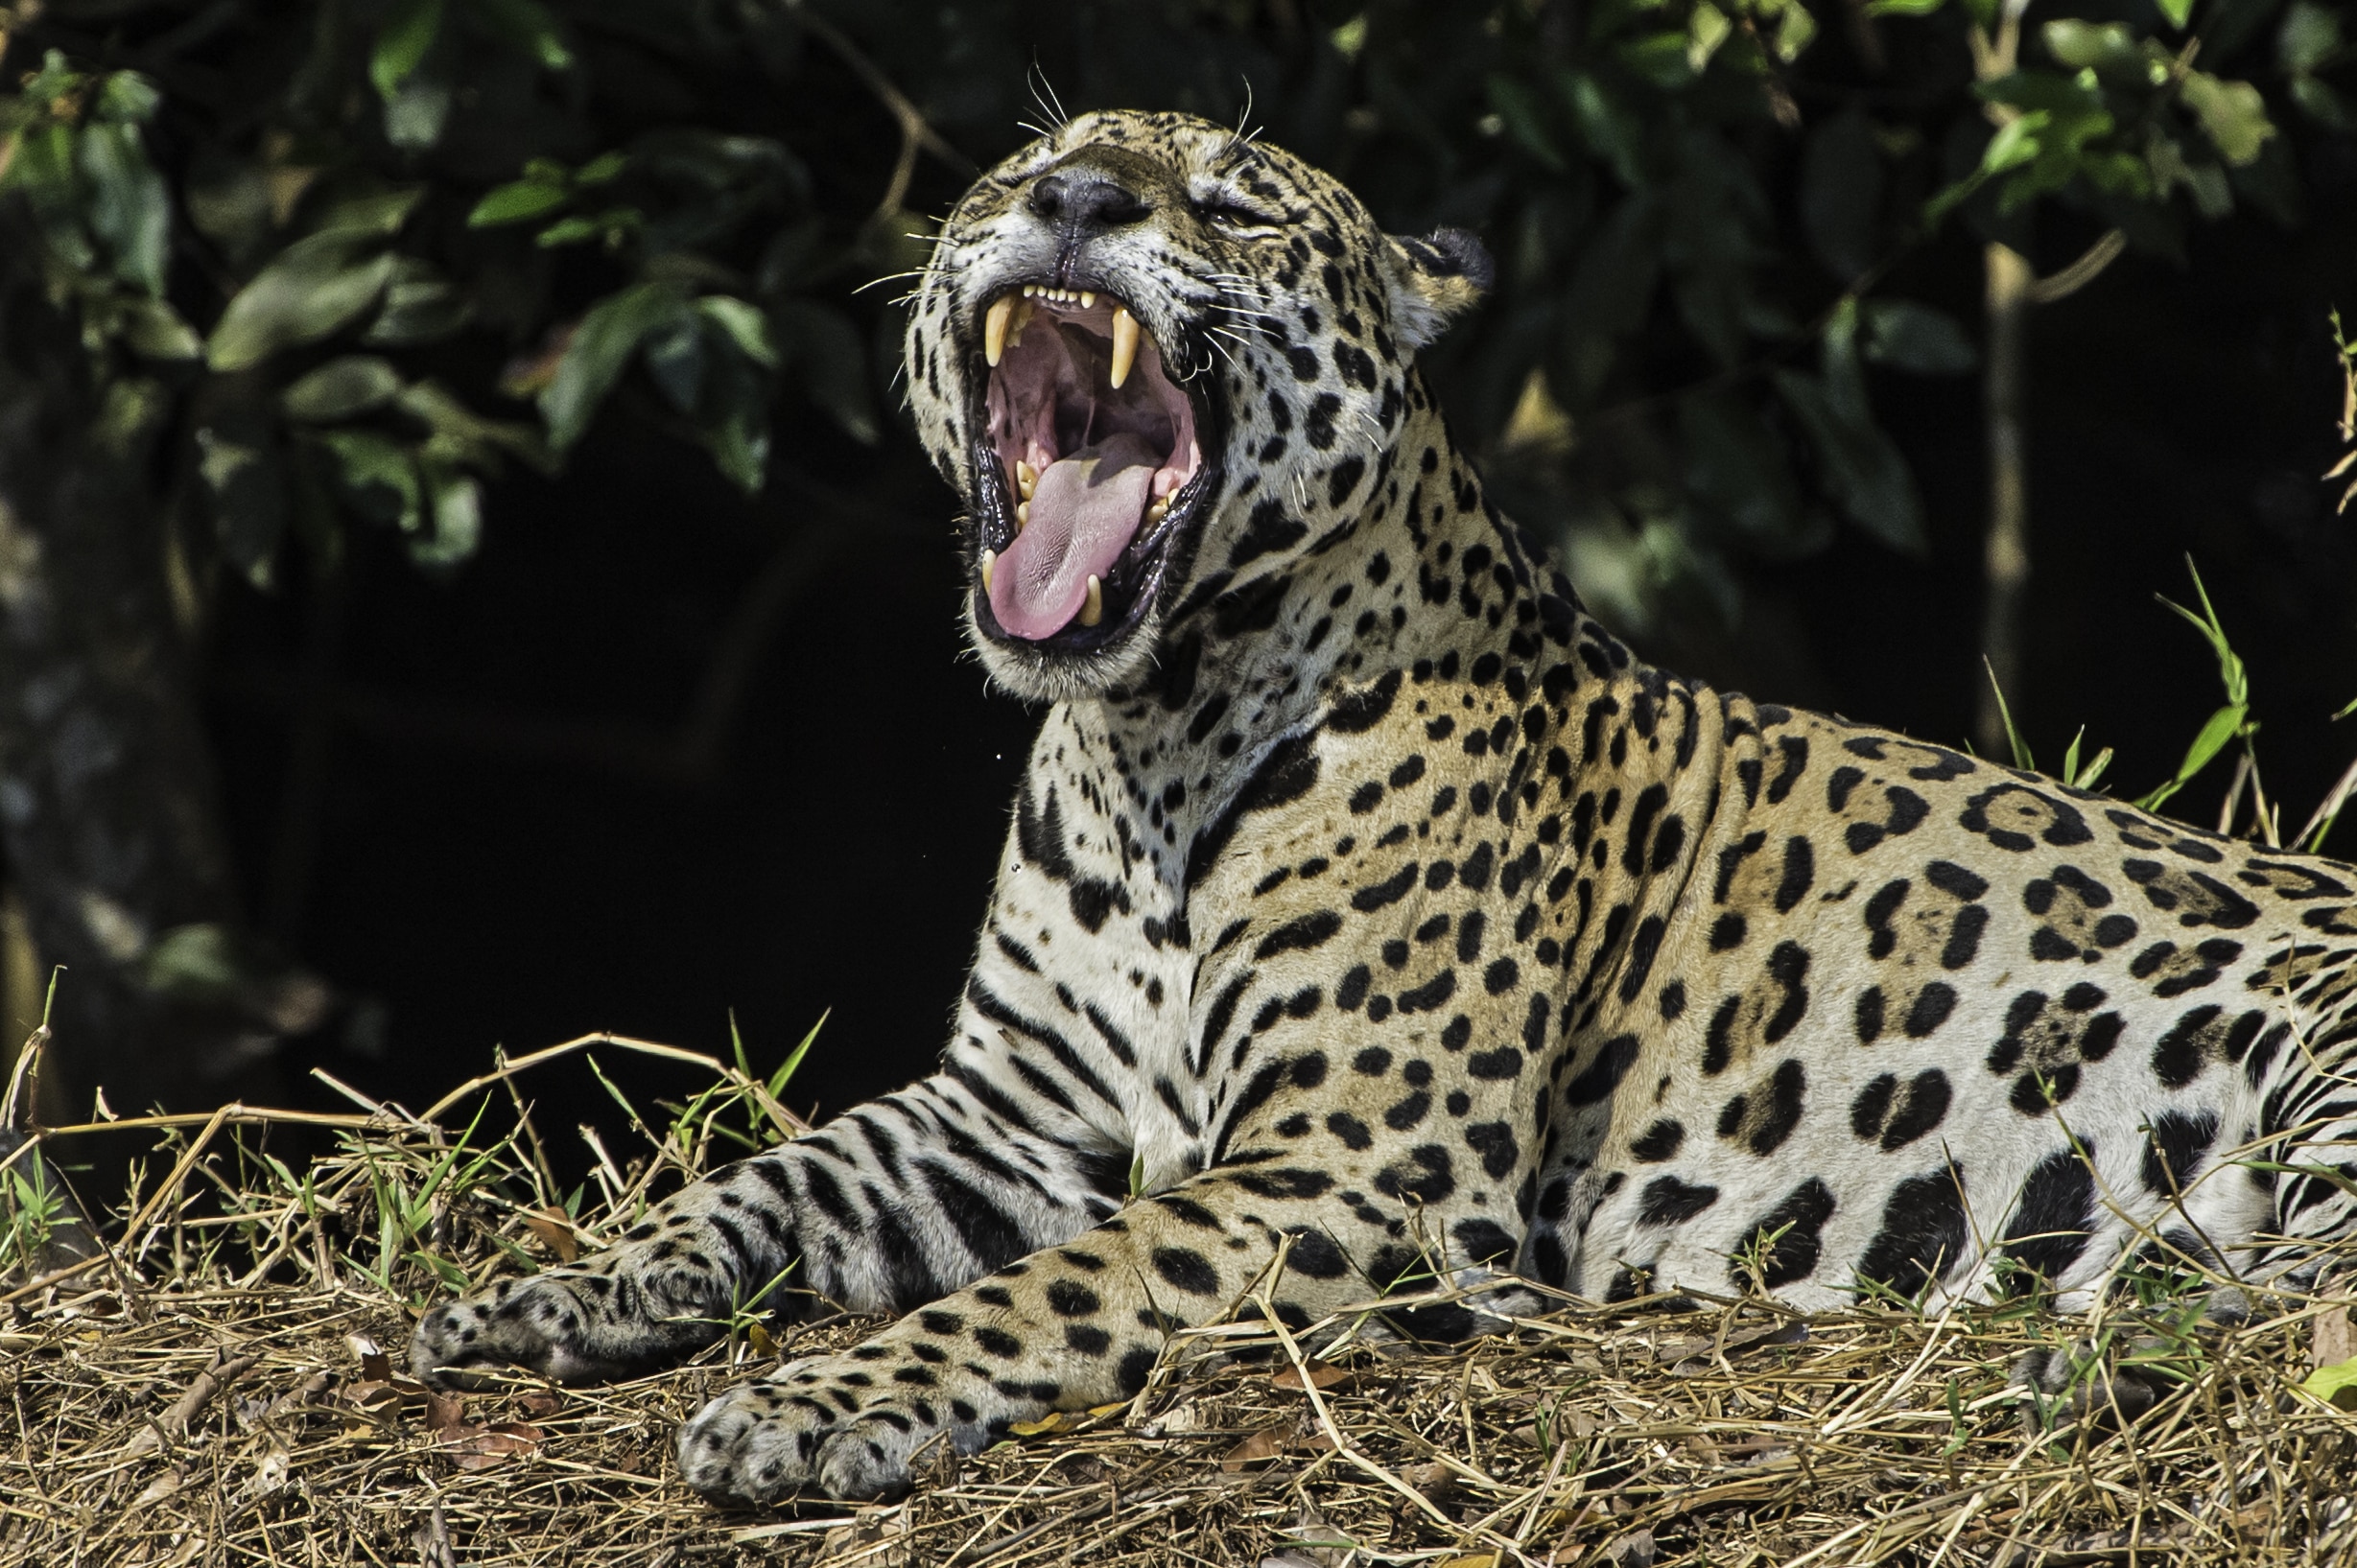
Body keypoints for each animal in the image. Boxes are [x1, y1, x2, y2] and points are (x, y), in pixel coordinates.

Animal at [412, 108, 2357, 1503]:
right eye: (1017, 173)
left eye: (1234, 207)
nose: (1078, 201)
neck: (1145, 744)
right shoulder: (1007, 1113)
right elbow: (774, 1173)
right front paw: (556, 1293)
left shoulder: (1358, 1162)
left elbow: (1053, 1286)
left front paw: (808, 1402)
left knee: (2307, 1293)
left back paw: (2085, 1337)